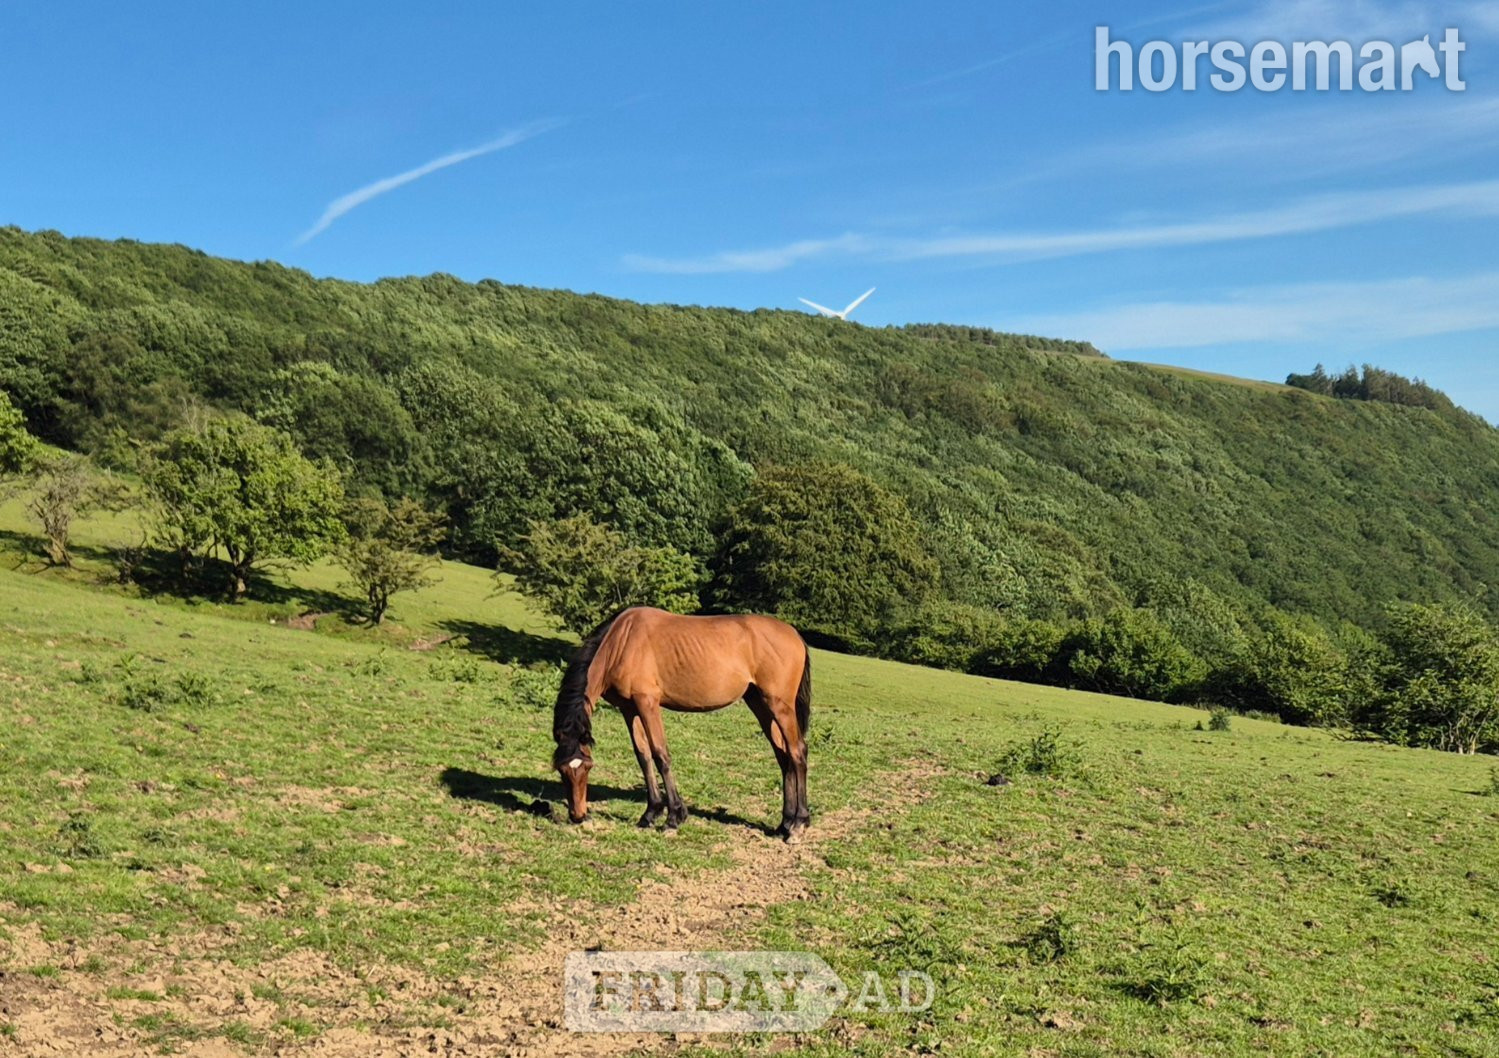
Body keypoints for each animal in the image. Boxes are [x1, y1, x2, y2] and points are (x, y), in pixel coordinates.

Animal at [552, 607, 812, 840]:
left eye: (587, 767)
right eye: (562, 770)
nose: (578, 815)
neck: (620, 643)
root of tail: (795, 634)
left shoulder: (647, 703)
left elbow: (660, 755)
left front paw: (674, 817)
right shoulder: (629, 709)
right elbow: (643, 757)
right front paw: (650, 813)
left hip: (780, 706)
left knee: (797, 752)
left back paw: (798, 824)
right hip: (760, 703)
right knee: (783, 756)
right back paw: (784, 824)